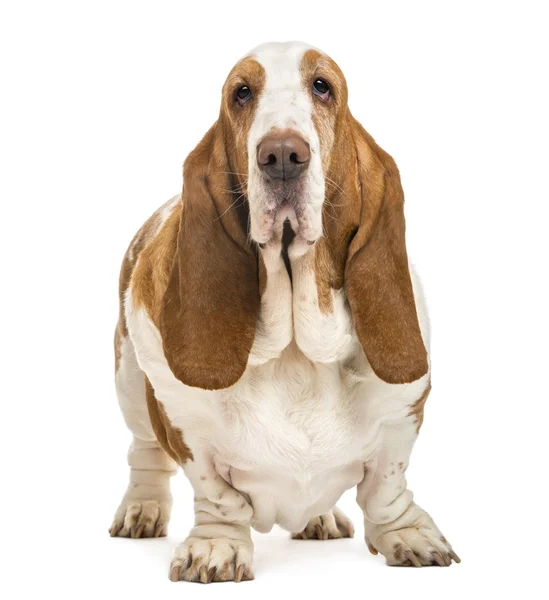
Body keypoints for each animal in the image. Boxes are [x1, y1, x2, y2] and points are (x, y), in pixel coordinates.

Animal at [110, 41, 458, 580]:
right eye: (241, 93)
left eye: (322, 86)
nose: (281, 155)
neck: (297, 345)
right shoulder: (186, 427)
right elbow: (218, 498)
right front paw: (216, 547)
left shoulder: (402, 415)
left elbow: (387, 487)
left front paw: (409, 535)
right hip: (129, 376)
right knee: (143, 450)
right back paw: (140, 509)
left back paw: (319, 519)